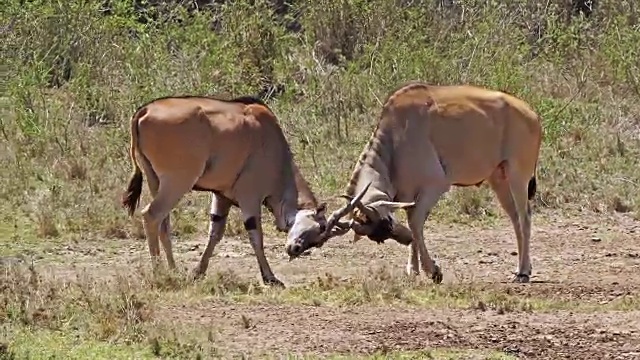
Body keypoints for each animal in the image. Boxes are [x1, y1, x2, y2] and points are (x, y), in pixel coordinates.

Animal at [119, 95, 340, 286]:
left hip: (156, 181)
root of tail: (145, 110)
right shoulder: (250, 196)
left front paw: (198, 272)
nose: (295, 249)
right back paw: (159, 273)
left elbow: (215, 233)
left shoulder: (221, 197)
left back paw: (173, 270)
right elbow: (256, 236)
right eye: (320, 227)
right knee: (151, 215)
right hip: (177, 183)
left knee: (163, 223)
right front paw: (270, 277)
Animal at [288, 81, 544, 284]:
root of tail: (532, 114)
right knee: (515, 218)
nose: (403, 239)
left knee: (525, 217)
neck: (397, 134)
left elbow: (415, 222)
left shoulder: (435, 187)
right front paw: (414, 269)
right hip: (498, 178)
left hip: (517, 176)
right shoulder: (408, 195)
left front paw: (433, 271)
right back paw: (523, 269)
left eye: (387, 223)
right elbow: (413, 220)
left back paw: (523, 273)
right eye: (380, 235)